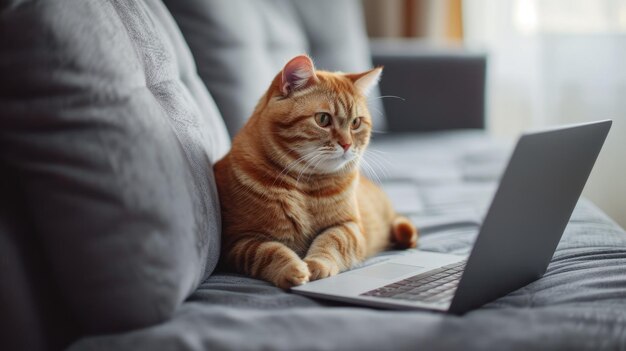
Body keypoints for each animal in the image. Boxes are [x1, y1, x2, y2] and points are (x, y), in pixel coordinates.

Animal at [212, 55, 416, 290]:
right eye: (323, 119)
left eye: (355, 123)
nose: (347, 144)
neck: (305, 185)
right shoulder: (238, 240)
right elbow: (268, 251)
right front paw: (291, 268)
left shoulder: (349, 227)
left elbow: (331, 241)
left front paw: (318, 264)